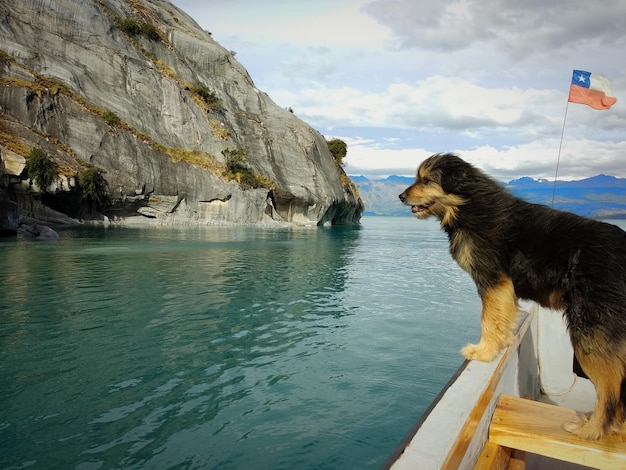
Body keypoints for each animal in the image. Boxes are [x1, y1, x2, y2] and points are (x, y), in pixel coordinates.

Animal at [398, 152, 624, 438]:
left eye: (426, 180)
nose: (400, 196)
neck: (469, 204)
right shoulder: (502, 288)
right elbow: (501, 316)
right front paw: (501, 342)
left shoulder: (492, 280)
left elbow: (488, 319)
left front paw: (484, 351)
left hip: (590, 328)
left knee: (609, 386)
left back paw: (593, 430)